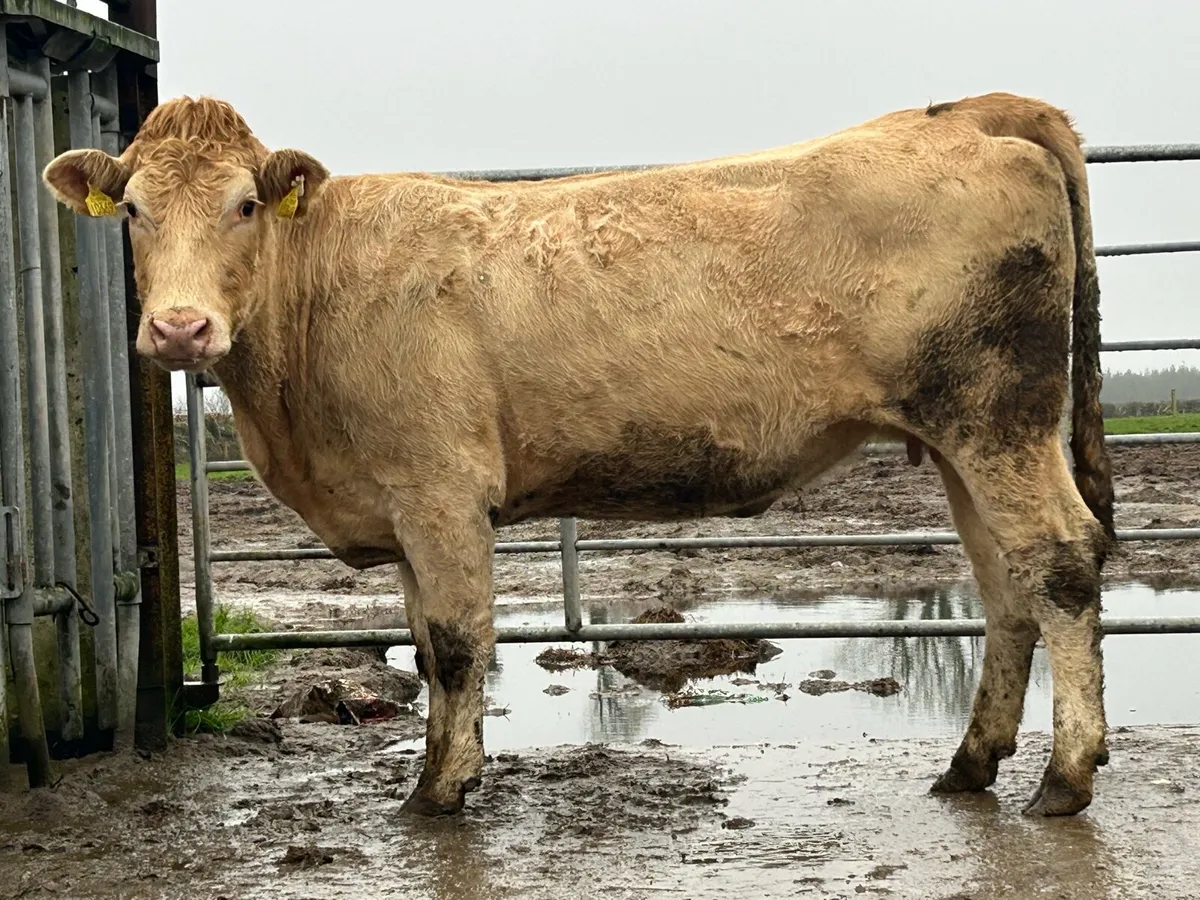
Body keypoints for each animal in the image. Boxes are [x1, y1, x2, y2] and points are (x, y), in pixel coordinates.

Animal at [43, 91, 1115, 819]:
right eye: (133, 211)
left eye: (244, 207)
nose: (180, 329)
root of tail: (963, 115)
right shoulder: (401, 507)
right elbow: (426, 647)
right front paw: (434, 771)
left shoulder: (439, 491)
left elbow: (461, 643)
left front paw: (442, 792)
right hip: (964, 439)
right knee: (1005, 583)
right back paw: (970, 765)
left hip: (999, 418)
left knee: (1060, 562)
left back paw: (1064, 777)